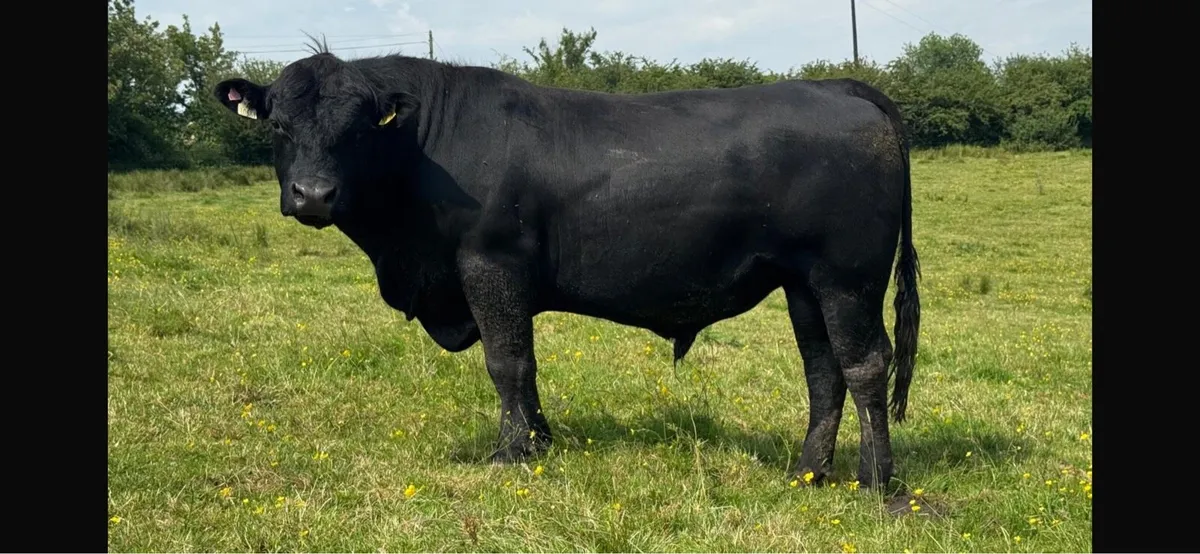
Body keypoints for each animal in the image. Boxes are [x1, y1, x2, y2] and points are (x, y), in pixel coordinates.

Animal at [213, 47, 921, 489]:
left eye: (358, 128)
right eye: (277, 126)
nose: (312, 195)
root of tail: (838, 86)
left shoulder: (490, 263)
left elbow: (507, 361)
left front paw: (511, 453)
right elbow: (522, 365)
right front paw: (539, 440)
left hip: (846, 276)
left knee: (865, 364)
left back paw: (875, 482)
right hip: (803, 282)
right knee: (823, 370)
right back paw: (809, 471)